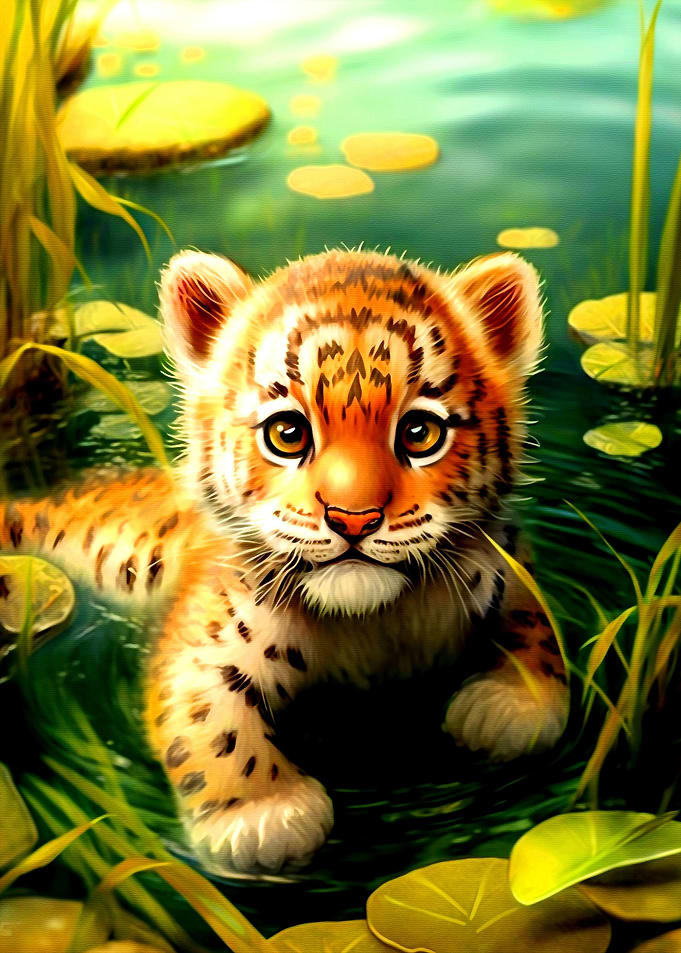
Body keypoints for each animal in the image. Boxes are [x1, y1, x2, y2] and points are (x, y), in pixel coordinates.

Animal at [0, 247, 569, 874]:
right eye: (288, 432)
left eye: (420, 432)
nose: (353, 518)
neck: (373, 626)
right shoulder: (203, 649)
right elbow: (209, 723)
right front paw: (262, 815)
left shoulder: (506, 568)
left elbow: (536, 626)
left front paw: (510, 706)